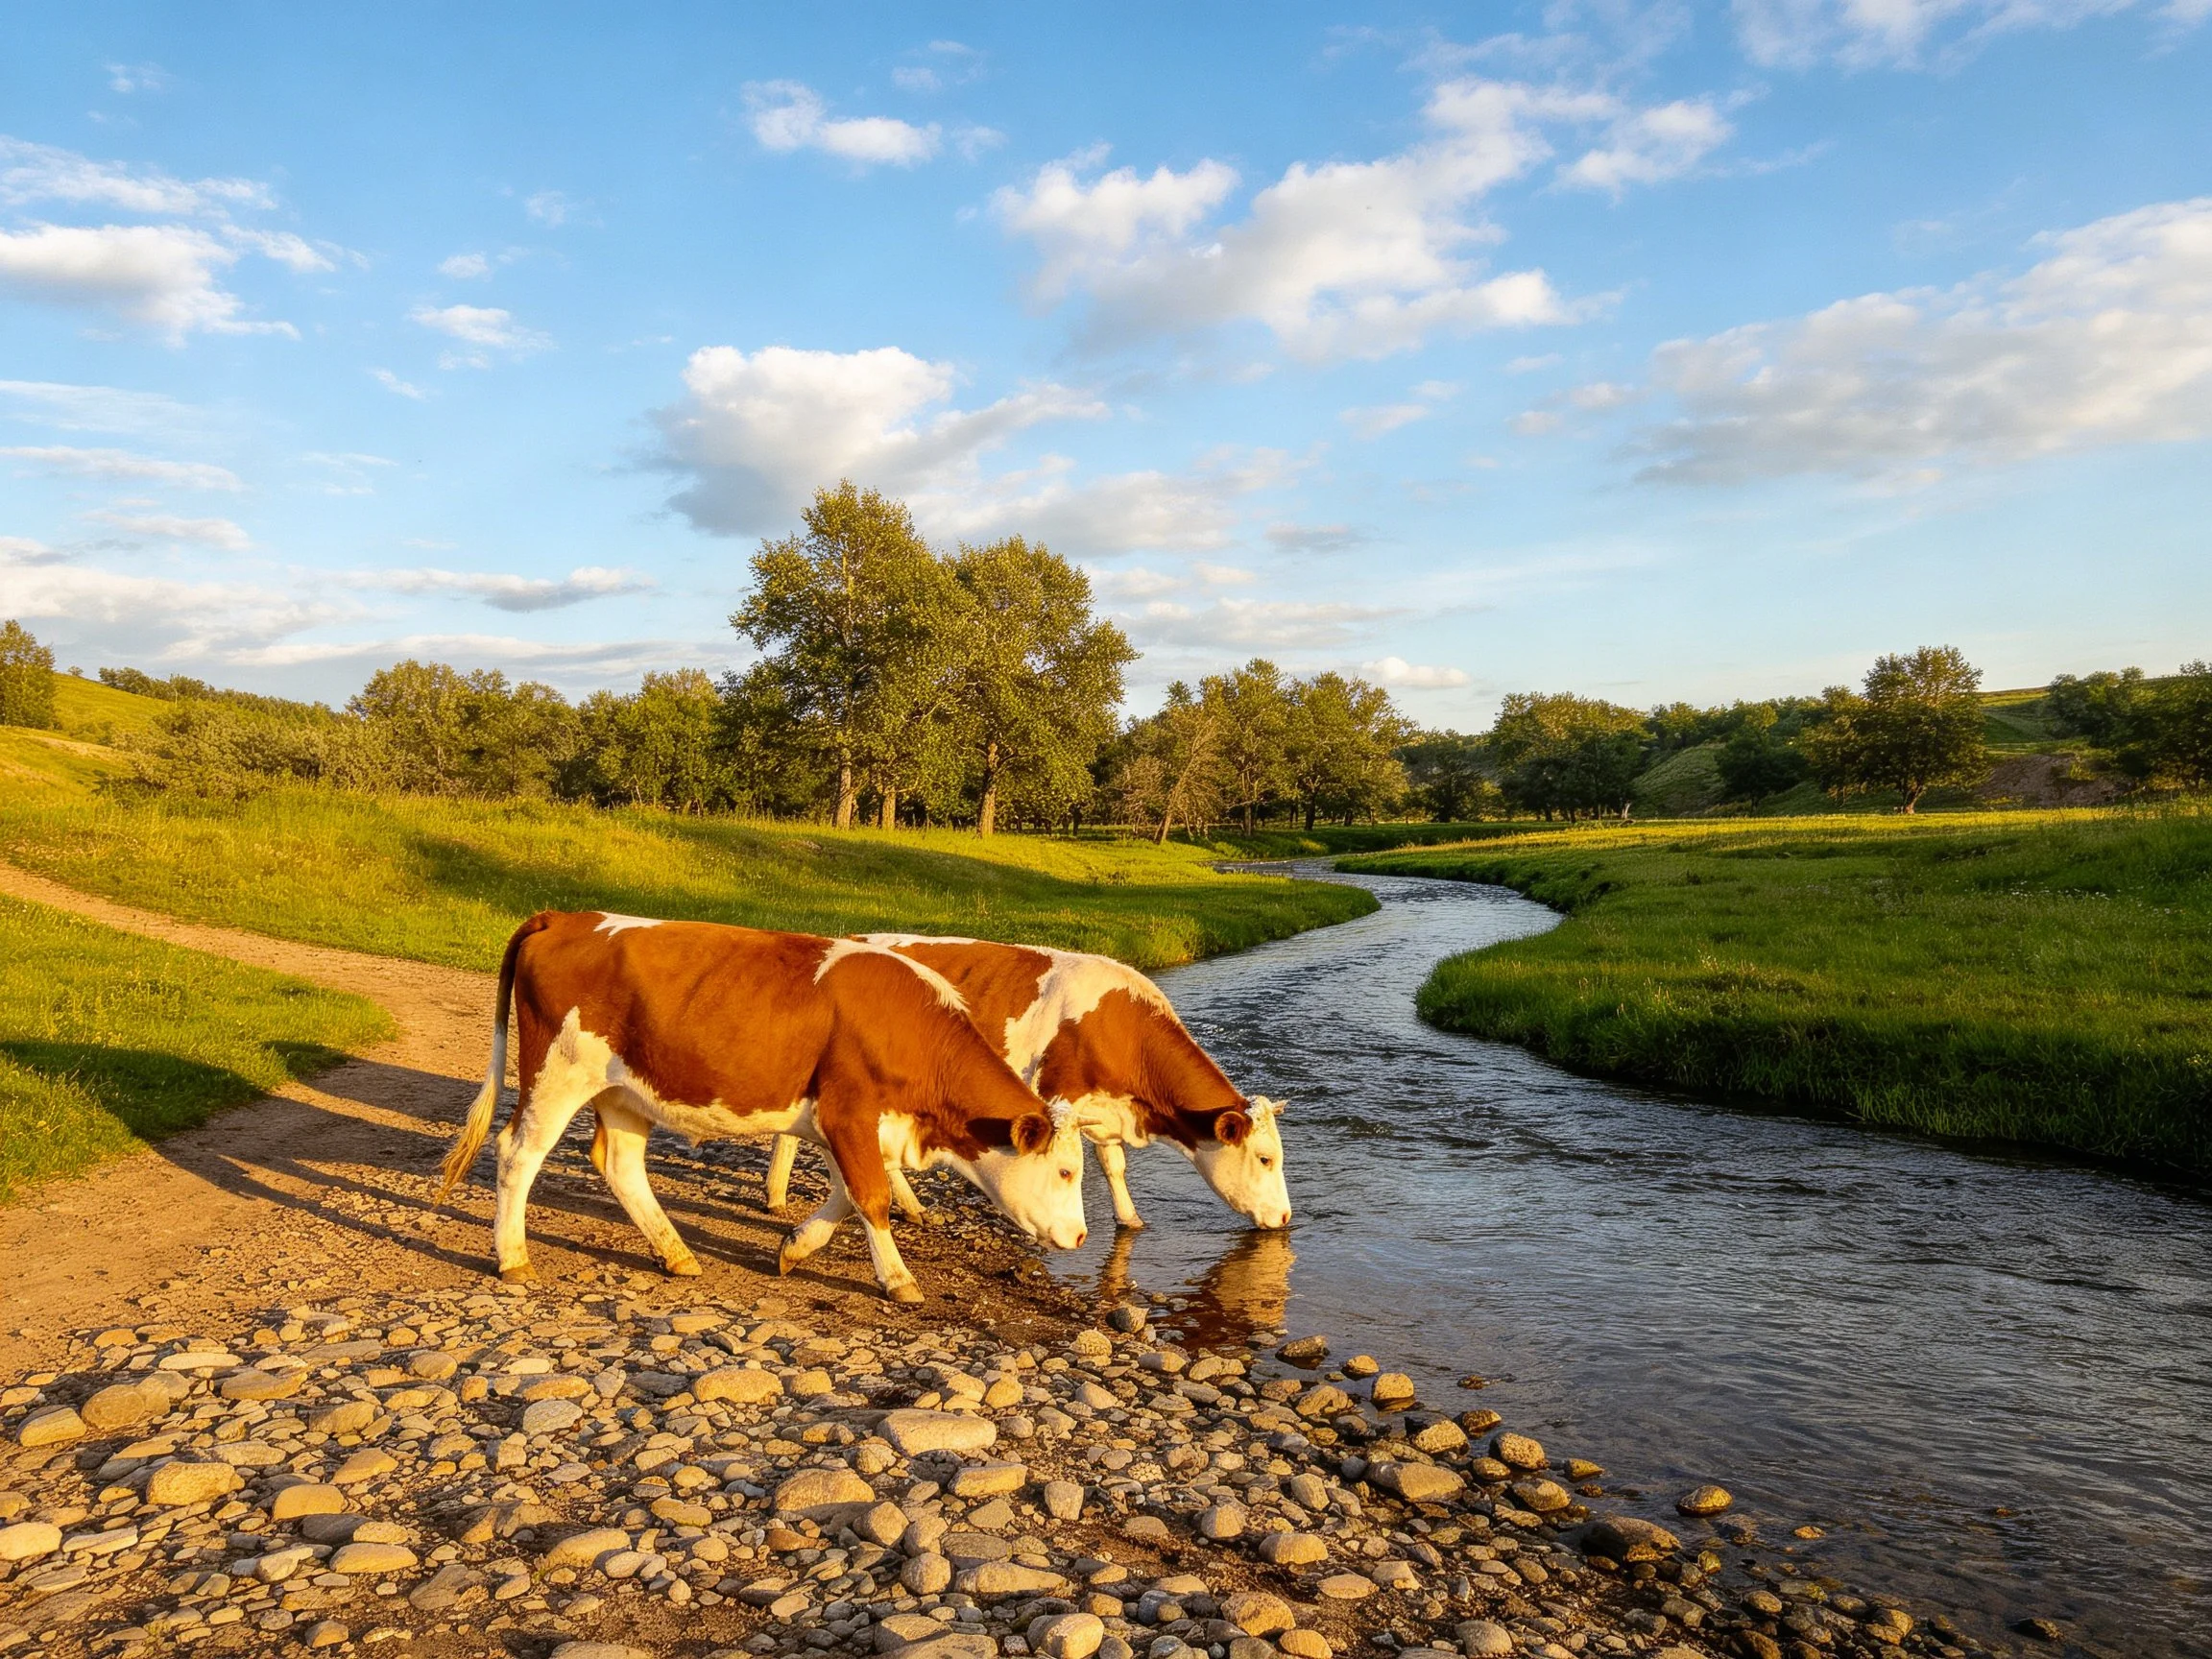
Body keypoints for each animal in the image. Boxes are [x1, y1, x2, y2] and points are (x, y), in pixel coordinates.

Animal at [435, 912, 1090, 1302]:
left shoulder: (852, 1125)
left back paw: (675, 1253)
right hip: (558, 1073)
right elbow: (871, 1197)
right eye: (1065, 1171)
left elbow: (848, 1197)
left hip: (625, 1090)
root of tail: (571, 917)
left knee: (620, 1165)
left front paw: (794, 1247)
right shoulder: (849, 1112)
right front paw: (899, 1278)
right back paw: (513, 1258)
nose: (1083, 1235)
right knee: (518, 1152)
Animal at [765, 935, 1290, 1233]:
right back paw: (776, 1195)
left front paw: (1130, 1218)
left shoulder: (1103, 1111)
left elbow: (1114, 1165)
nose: (1286, 1218)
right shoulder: (1057, 1096)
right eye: (1265, 1159)